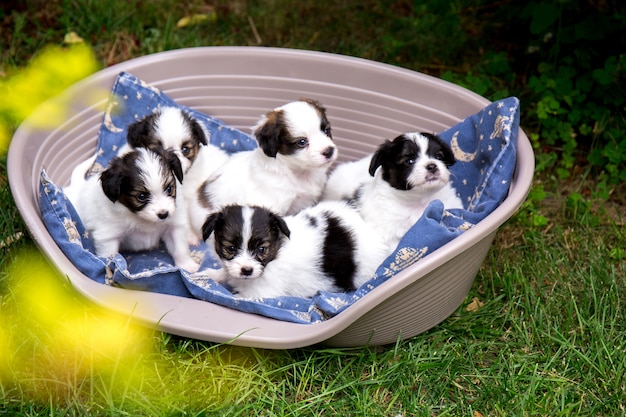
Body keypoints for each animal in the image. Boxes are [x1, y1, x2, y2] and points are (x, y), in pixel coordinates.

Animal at [63, 147, 200, 272]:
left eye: (169, 189)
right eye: (141, 196)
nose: (164, 214)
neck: (141, 218)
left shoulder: (173, 227)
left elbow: (179, 248)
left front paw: (187, 266)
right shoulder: (108, 236)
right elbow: (110, 256)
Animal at [197, 200, 388, 298]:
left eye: (262, 249)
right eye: (230, 248)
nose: (247, 270)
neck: (275, 254)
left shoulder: (261, 293)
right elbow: (226, 272)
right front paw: (208, 274)